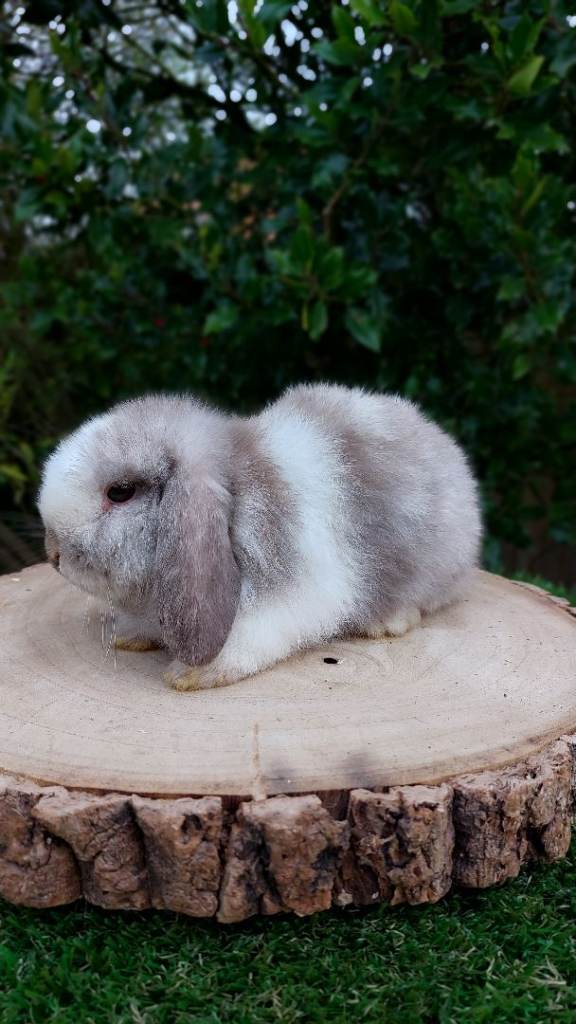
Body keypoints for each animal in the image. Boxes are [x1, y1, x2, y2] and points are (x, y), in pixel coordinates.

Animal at [38, 383, 482, 691]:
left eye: (120, 492)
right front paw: (128, 634)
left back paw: (387, 621)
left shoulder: (286, 590)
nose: (53, 553)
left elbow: (250, 634)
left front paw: (192, 674)